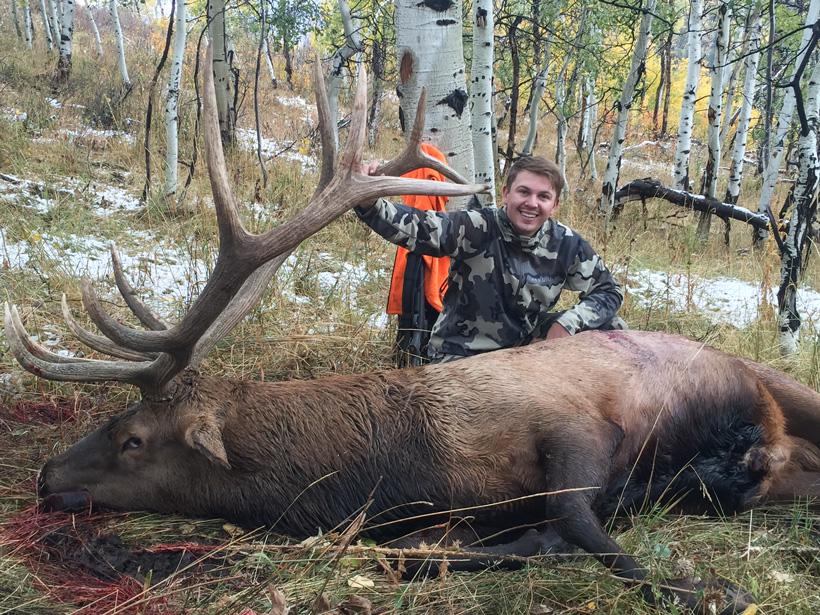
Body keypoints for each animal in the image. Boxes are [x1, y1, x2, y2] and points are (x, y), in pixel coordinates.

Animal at [5, 48, 820, 615]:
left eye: (133, 437)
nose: (46, 475)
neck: (402, 465)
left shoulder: (579, 426)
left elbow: (585, 524)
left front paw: (707, 588)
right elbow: (437, 549)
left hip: (775, 381)